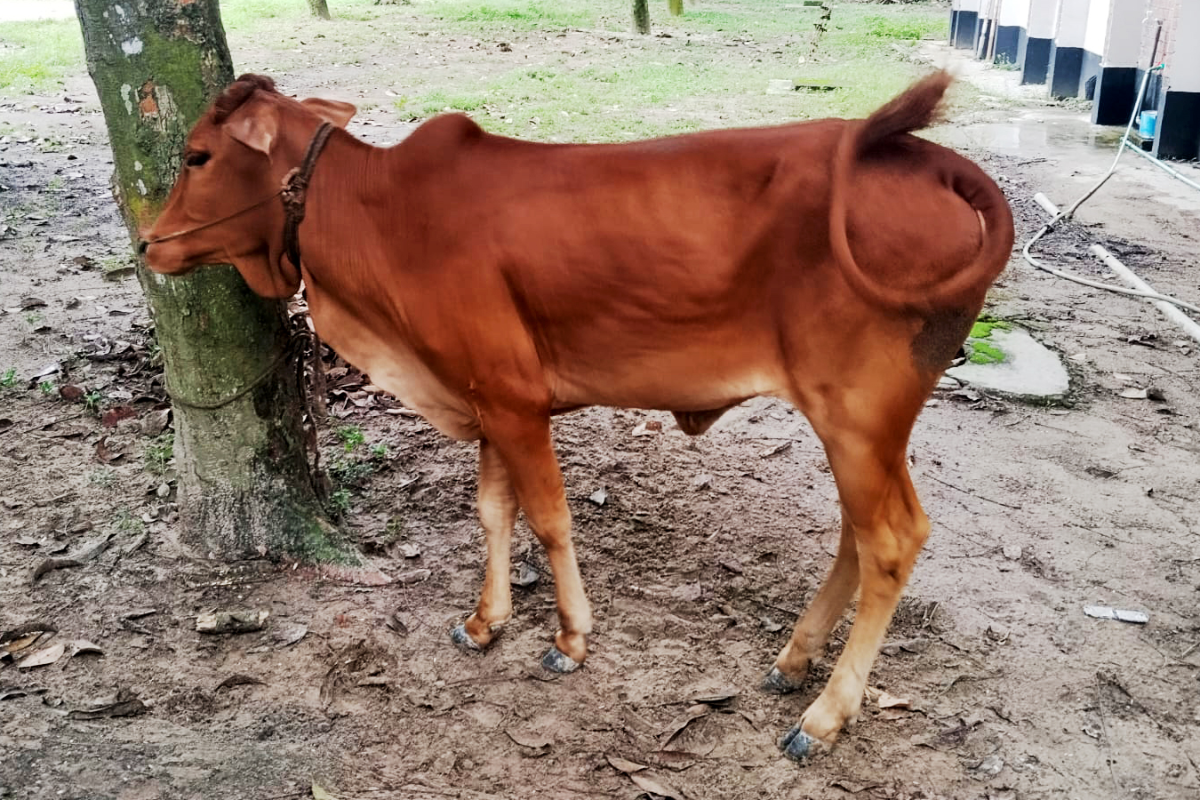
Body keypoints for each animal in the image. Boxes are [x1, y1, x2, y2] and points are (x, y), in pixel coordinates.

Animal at [141, 71, 1014, 761]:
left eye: (197, 156)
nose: (150, 244)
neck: (376, 214)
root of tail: (932, 158)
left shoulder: (515, 400)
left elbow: (551, 516)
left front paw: (570, 638)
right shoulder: (489, 398)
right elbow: (494, 510)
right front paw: (485, 621)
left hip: (859, 413)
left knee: (891, 540)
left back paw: (825, 715)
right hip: (860, 426)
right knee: (857, 537)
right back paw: (795, 662)